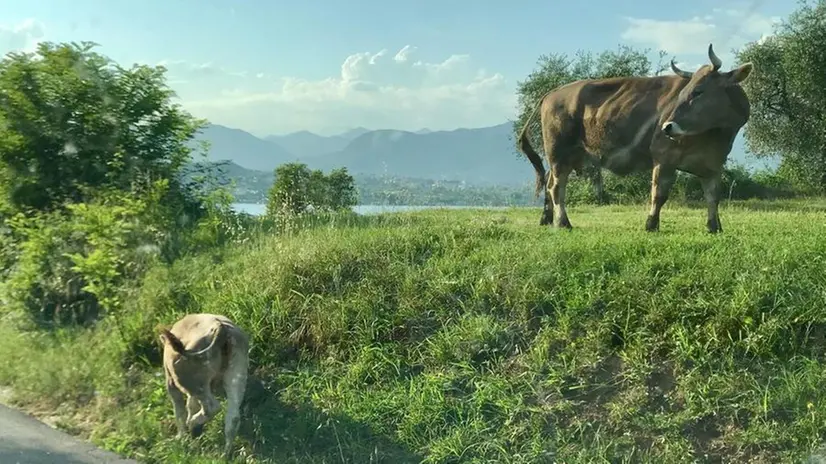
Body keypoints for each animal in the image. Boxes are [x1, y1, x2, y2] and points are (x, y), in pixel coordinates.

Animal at [159, 314, 249, 458]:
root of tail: (221, 327)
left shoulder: (171, 382)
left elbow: (179, 410)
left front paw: (181, 438)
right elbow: (190, 405)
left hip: (194, 383)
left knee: (212, 408)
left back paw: (192, 423)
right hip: (236, 374)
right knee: (233, 417)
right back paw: (225, 454)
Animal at [520, 43, 748, 232]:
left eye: (698, 91)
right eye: (683, 93)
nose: (667, 127)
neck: (714, 137)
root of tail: (553, 93)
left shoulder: (713, 165)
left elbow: (713, 197)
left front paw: (714, 226)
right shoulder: (663, 157)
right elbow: (659, 194)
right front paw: (651, 225)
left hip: (568, 156)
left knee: (549, 181)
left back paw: (547, 219)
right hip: (558, 152)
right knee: (556, 187)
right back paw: (563, 222)